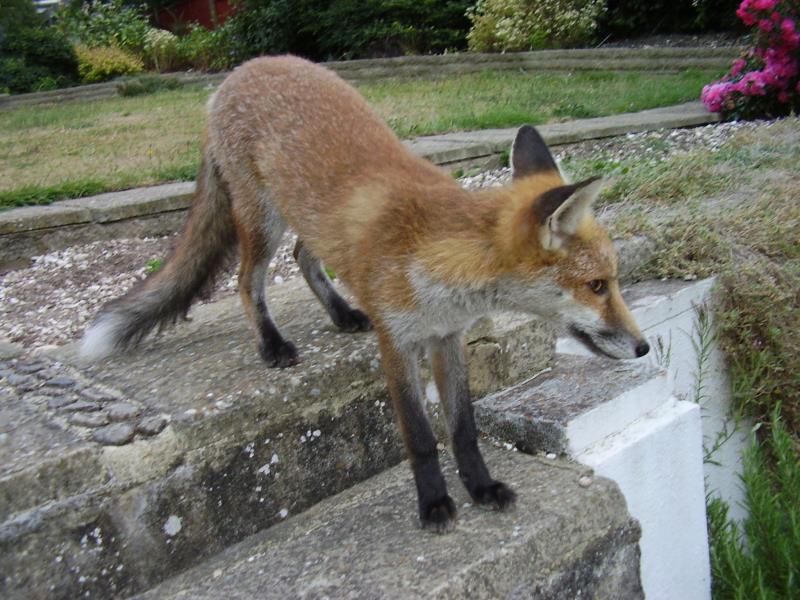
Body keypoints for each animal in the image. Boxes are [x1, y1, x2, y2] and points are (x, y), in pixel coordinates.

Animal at [83, 56, 648, 532]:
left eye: (613, 281)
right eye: (598, 286)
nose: (643, 347)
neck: (441, 264)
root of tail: (241, 70)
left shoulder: (447, 337)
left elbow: (462, 428)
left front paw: (481, 487)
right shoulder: (396, 341)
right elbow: (421, 437)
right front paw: (434, 503)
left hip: (302, 219)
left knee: (304, 258)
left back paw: (341, 314)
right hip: (262, 219)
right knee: (248, 281)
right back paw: (272, 344)